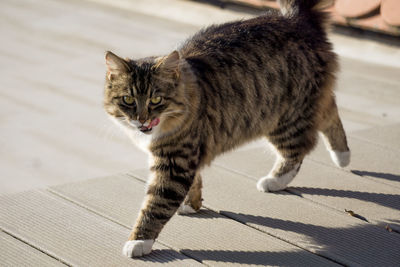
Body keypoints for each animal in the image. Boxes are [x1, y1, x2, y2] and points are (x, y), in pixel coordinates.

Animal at [103, 0, 350, 260]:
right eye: (128, 100)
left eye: (156, 99)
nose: (141, 119)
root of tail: (296, 18)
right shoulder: (188, 155)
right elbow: (195, 181)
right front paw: (192, 204)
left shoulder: (175, 163)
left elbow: (155, 206)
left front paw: (138, 241)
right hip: (307, 105)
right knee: (330, 113)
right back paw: (342, 156)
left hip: (284, 118)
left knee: (300, 149)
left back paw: (275, 180)